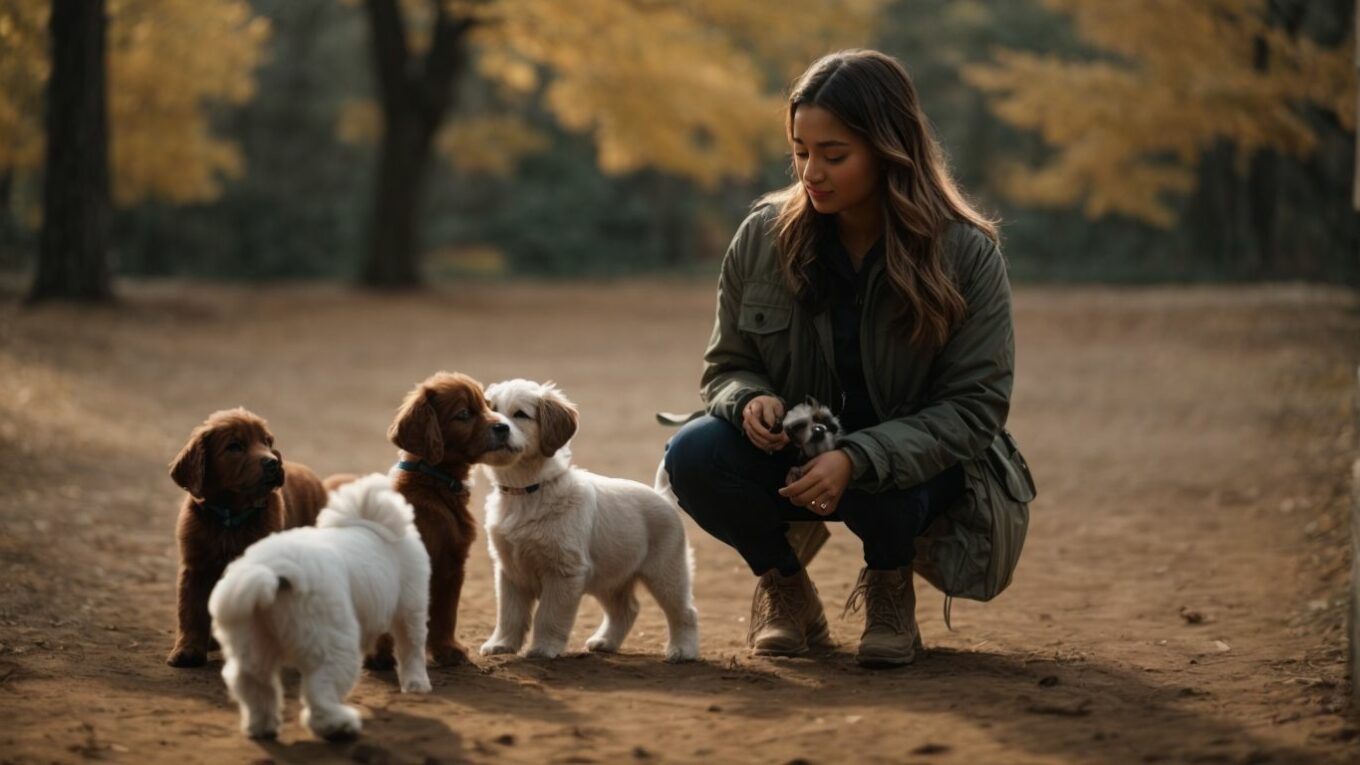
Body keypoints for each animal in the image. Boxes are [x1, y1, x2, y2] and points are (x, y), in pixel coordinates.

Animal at [165, 408, 327, 664]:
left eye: (267, 442)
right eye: (234, 446)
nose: (273, 463)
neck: (230, 517)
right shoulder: (196, 566)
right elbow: (191, 610)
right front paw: (187, 650)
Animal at [208, 470, 429, 740]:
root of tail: (271, 574)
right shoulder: (411, 604)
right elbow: (411, 648)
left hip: (251, 640)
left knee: (252, 682)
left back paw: (261, 726)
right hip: (334, 642)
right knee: (321, 689)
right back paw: (339, 725)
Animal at [378, 370, 511, 666]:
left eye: (487, 405)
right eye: (464, 414)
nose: (505, 427)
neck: (431, 478)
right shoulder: (449, 563)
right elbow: (444, 613)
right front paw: (448, 650)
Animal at [481, 381, 701, 661]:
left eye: (520, 414)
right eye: (491, 410)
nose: (499, 427)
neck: (527, 490)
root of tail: (662, 496)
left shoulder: (564, 571)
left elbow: (548, 615)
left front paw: (544, 648)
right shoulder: (510, 570)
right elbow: (509, 614)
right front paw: (501, 644)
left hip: (666, 572)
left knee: (684, 611)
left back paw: (683, 650)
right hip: (609, 575)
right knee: (626, 609)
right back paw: (605, 641)